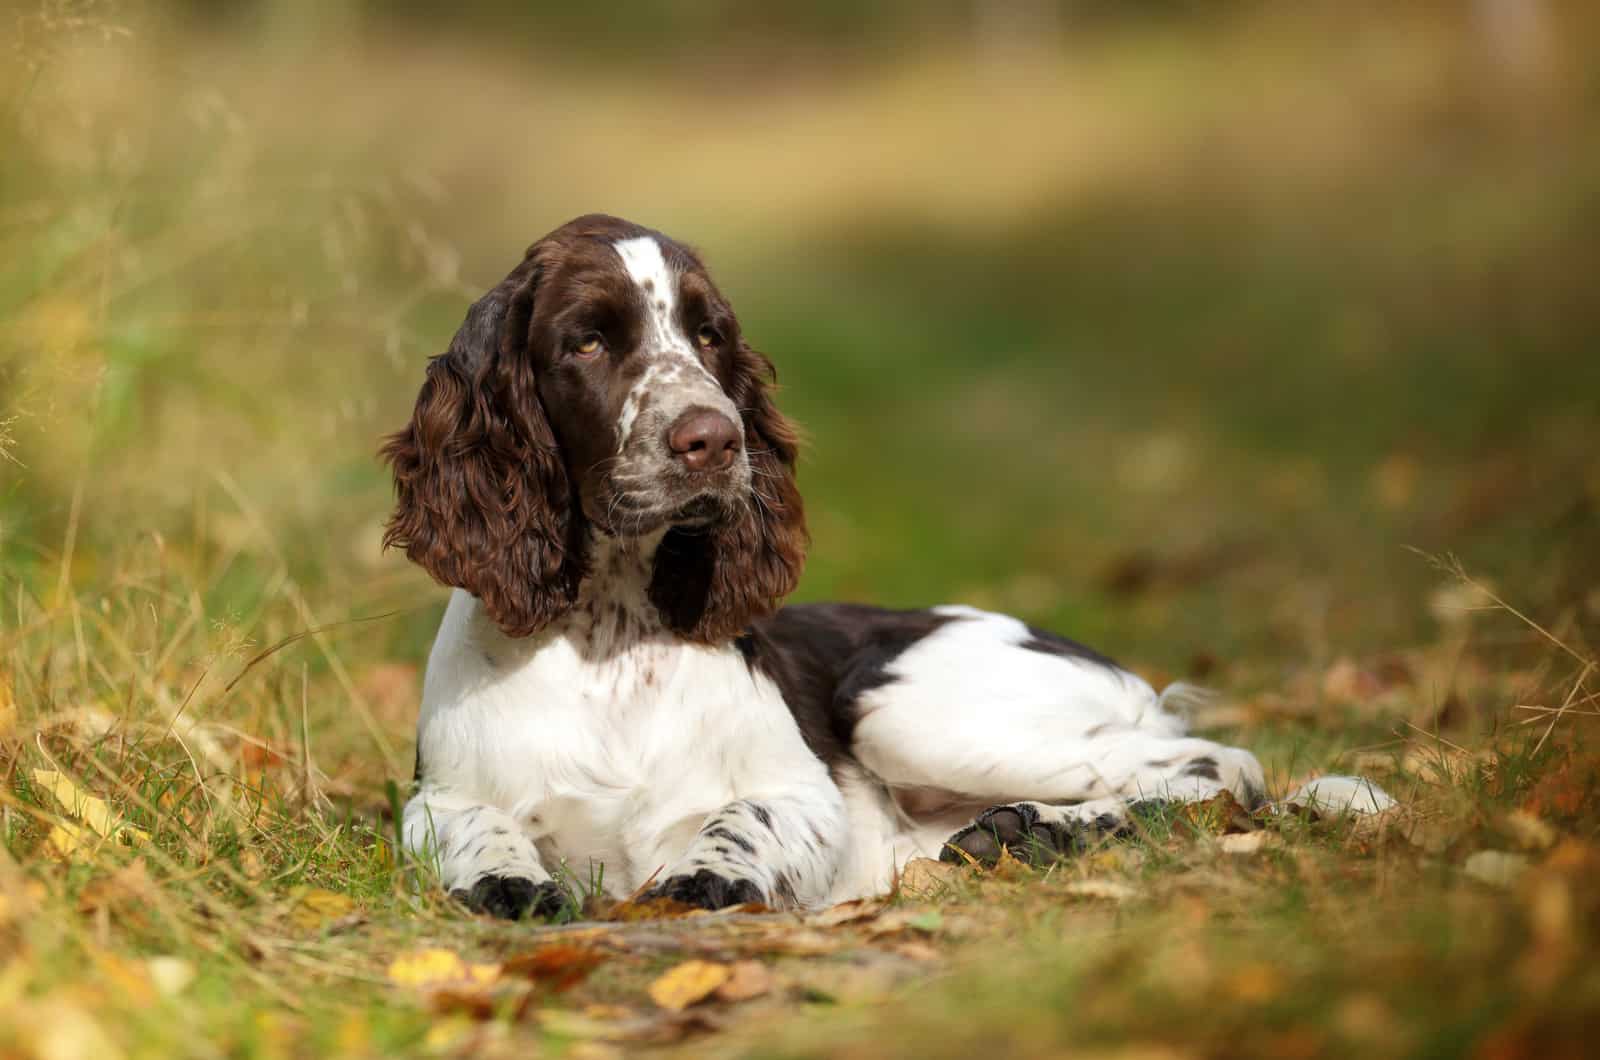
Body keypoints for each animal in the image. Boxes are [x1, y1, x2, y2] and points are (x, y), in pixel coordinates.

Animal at [380, 216, 1267, 922]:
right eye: (587, 340)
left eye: (710, 336)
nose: (715, 438)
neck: (614, 634)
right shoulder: (438, 798)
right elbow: (472, 825)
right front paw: (508, 882)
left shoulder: (806, 796)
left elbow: (745, 821)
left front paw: (707, 879)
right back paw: (1027, 829)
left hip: (901, 707)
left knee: (1227, 767)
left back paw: (1049, 825)